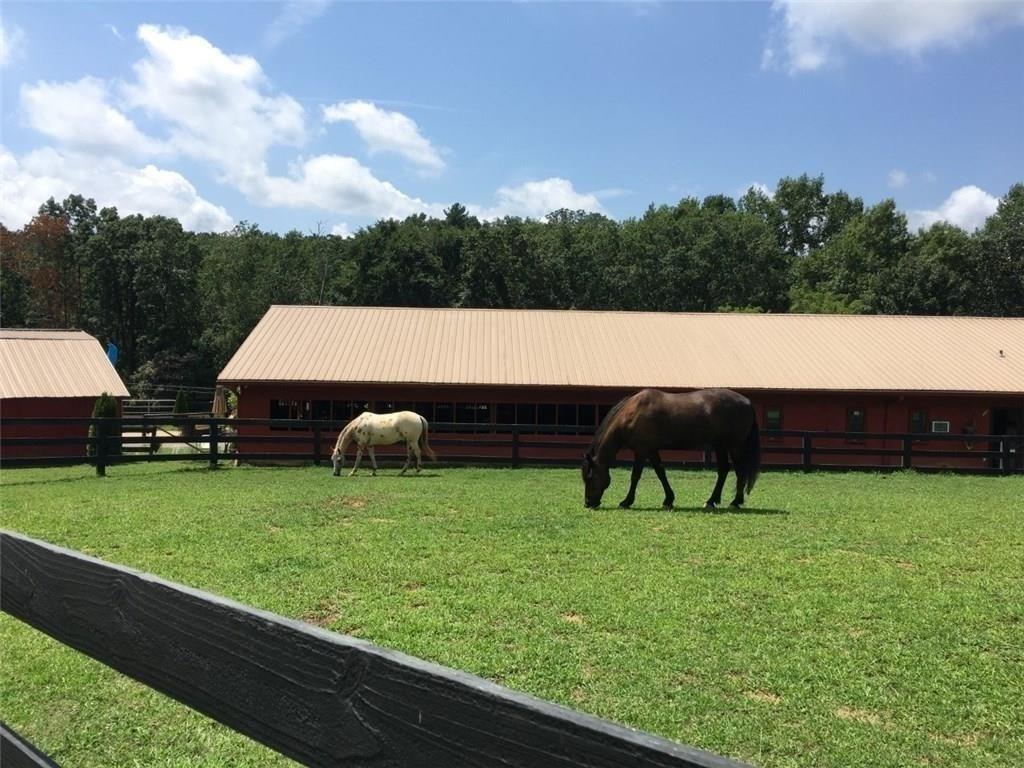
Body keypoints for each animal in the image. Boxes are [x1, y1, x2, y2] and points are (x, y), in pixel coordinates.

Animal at [585, 391, 761, 512]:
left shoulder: (642, 450)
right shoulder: (651, 450)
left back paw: (735, 502)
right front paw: (668, 500)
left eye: (590, 477)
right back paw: (711, 501)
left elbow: (635, 476)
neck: (632, 414)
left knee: (739, 471)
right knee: (724, 470)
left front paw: (626, 502)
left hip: (734, 446)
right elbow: (661, 472)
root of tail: (747, 402)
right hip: (720, 446)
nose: (588, 503)